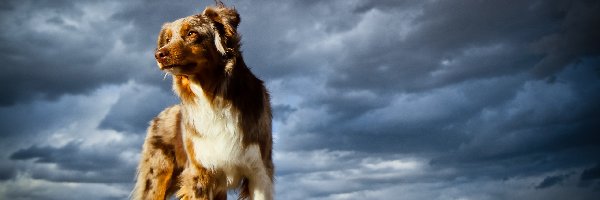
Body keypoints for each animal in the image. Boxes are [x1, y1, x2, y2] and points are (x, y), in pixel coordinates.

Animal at [133, 3, 274, 200]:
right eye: (167, 39)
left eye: (192, 33)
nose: (158, 54)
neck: (213, 98)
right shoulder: (200, 171)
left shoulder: (259, 171)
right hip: (156, 178)